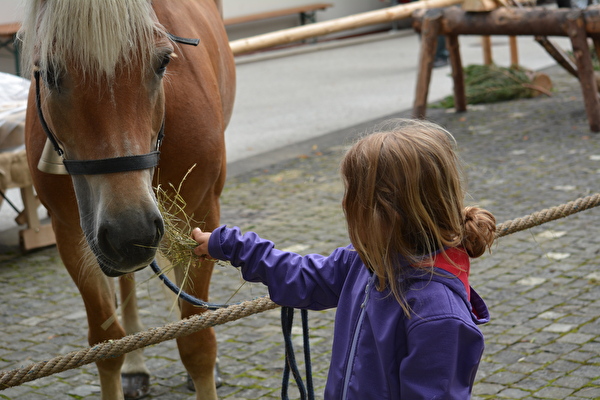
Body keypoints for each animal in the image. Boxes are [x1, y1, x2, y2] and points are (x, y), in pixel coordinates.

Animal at [19, 0, 234, 400]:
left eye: (163, 61)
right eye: (50, 73)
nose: (131, 231)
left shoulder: (202, 214)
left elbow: (196, 341)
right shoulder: (70, 232)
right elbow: (106, 346)